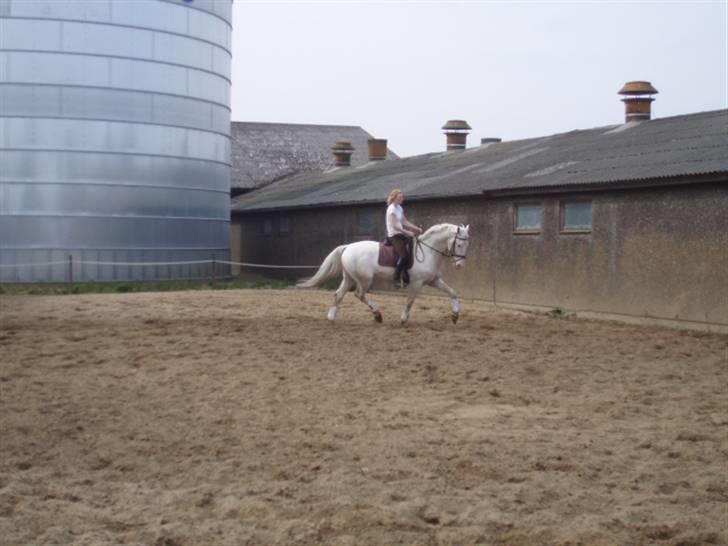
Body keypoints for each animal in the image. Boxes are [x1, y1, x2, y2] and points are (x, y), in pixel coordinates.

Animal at [298, 222, 472, 324]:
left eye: (466, 244)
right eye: (459, 244)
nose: (459, 265)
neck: (429, 251)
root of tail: (347, 247)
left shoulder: (433, 280)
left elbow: (453, 292)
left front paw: (455, 315)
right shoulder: (417, 283)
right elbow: (410, 301)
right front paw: (403, 319)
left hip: (349, 278)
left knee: (339, 294)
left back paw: (331, 317)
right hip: (364, 280)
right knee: (359, 295)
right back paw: (377, 315)